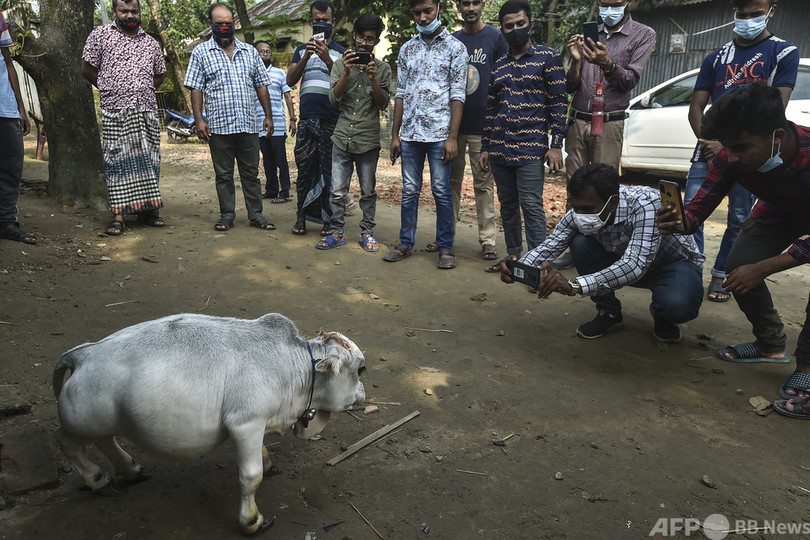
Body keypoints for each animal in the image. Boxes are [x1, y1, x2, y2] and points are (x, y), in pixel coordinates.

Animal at [50, 312, 362, 536]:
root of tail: (82, 354)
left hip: (104, 421)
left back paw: (130, 470)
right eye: (361, 369)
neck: (294, 366)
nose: (362, 395)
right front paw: (252, 521)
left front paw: (268, 463)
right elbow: (251, 477)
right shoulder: (245, 423)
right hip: (81, 424)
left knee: (105, 440)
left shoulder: (256, 422)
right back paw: (98, 479)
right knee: (66, 442)